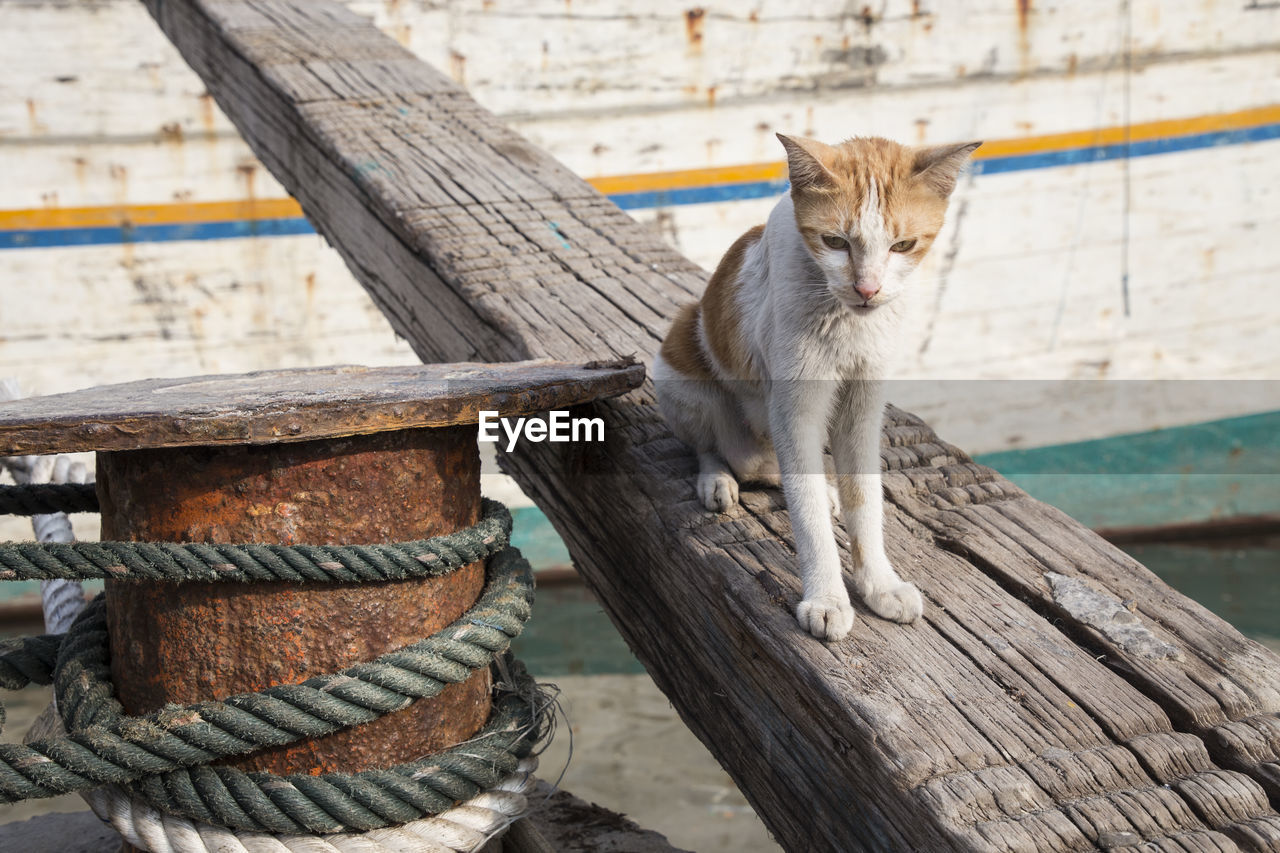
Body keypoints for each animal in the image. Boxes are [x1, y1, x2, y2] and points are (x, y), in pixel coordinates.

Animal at [655, 133, 972, 637]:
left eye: (902, 245)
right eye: (835, 242)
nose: (868, 290)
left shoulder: (863, 408)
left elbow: (865, 498)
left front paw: (879, 583)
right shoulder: (795, 408)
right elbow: (807, 517)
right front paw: (826, 598)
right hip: (679, 366)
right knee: (715, 449)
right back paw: (718, 478)